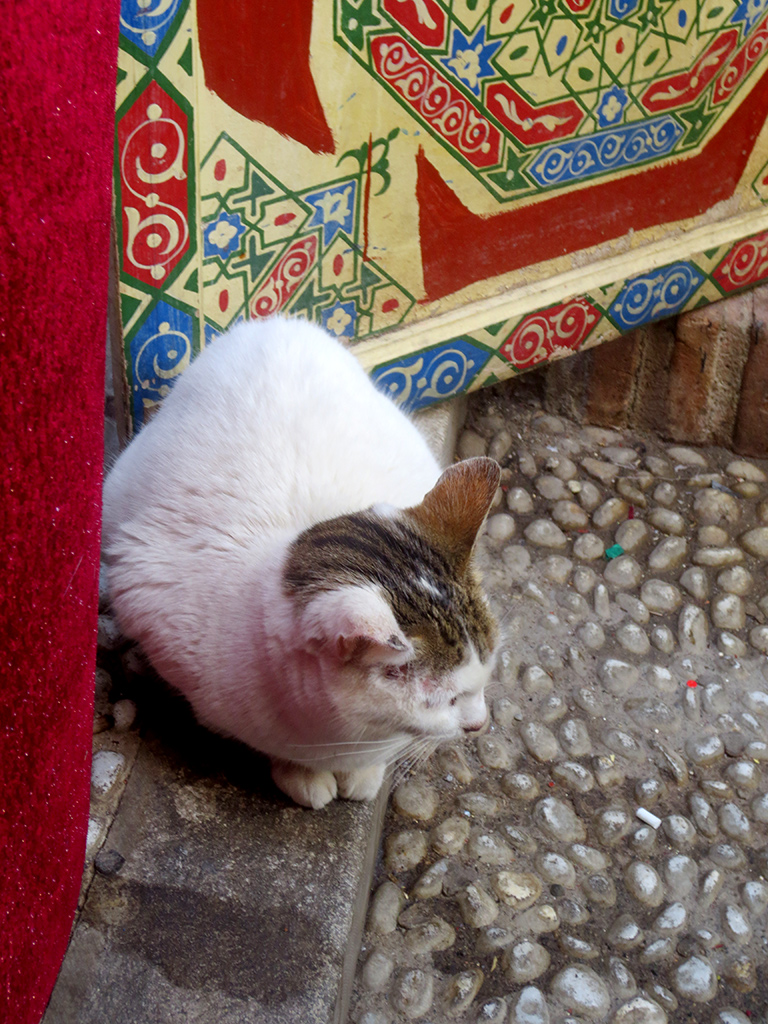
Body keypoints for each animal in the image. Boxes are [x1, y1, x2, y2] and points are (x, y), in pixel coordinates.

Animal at [102, 313, 499, 806]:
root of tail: (272, 321)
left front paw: (363, 770)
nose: (480, 724)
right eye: (447, 700)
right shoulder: (147, 592)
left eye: (489, 669)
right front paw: (303, 774)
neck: (349, 735)